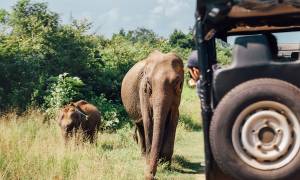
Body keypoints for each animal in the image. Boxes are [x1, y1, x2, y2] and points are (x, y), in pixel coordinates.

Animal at [120, 50, 184, 179]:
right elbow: (148, 118)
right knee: (140, 125)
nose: (148, 175)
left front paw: (165, 165)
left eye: (178, 83)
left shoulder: (177, 97)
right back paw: (144, 155)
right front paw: (151, 162)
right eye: (148, 83)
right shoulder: (143, 91)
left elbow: (173, 119)